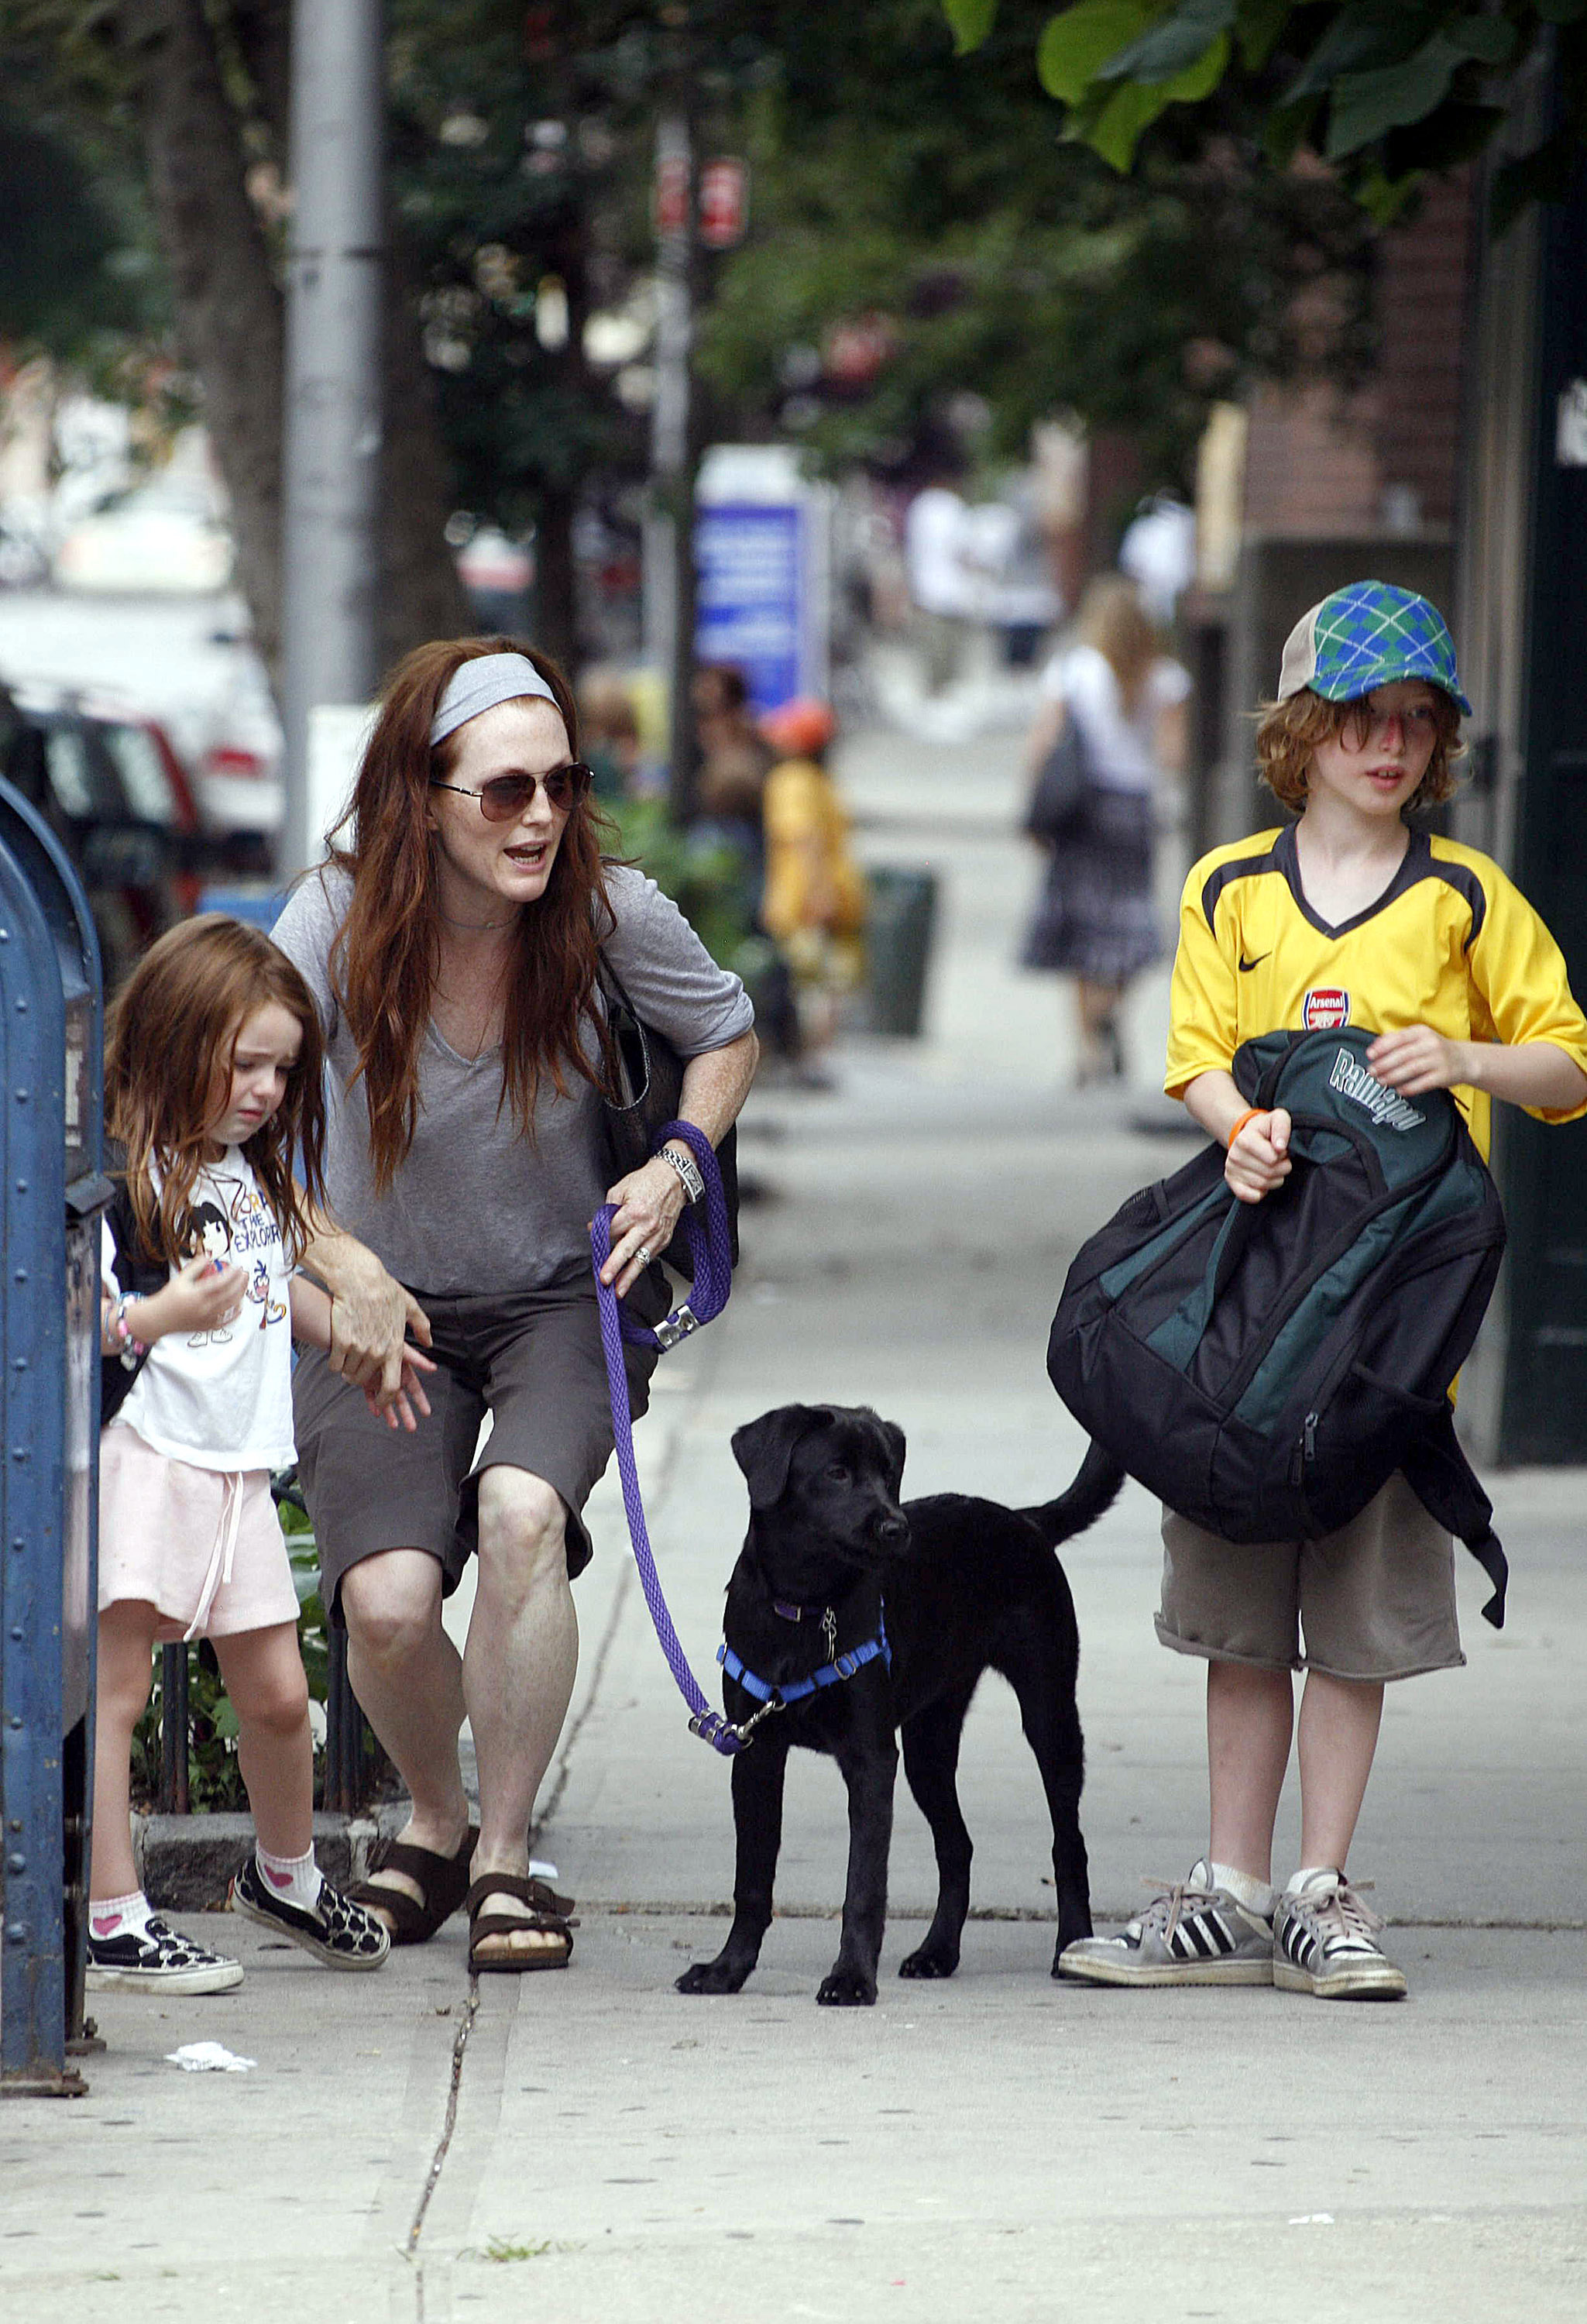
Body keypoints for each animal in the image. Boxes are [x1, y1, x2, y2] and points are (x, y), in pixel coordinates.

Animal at [678, 1404, 1125, 2008]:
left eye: (890, 1474)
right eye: (837, 1473)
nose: (896, 1529)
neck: (806, 1606)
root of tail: (1022, 1520)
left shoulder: (870, 1760)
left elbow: (863, 1885)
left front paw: (851, 1978)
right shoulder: (755, 1756)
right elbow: (752, 1880)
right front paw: (728, 1970)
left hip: (1049, 1713)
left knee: (1067, 1842)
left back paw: (1072, 1942)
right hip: (928, 1746)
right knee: (957, 1845)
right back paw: (938, 1951)